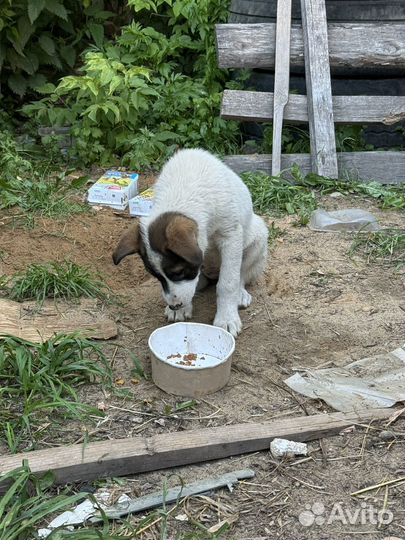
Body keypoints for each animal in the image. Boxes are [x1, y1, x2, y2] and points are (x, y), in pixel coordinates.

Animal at [112, 148, 266, 338]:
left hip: (258, 236)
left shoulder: (231, 236)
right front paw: (181, 309)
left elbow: (228, 282)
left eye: (178, 272)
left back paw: (240, 293)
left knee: (242, 274)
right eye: (155, 276)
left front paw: (226, 318)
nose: (174, 306)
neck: (182, 192)